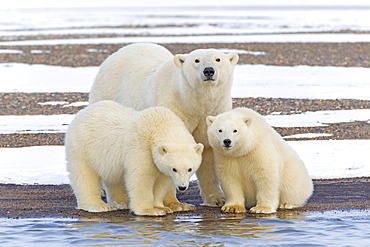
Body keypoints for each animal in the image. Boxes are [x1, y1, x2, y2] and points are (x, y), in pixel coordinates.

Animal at [65, 100, 204, 216]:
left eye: (190, 169)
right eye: (174, 169)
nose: (182, 187)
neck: (160, 125)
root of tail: (82, 112)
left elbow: (161, 182)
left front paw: (162, 207)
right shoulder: (141, 148)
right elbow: (141, 177)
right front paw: (150, 210)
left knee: (115, 178)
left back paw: (122, 203)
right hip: (82, 148)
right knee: (84, 176)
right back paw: (98, 205)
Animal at [89, 43, 240, 206]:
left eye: (218, 59)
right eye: (197, 60)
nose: (209, 71)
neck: (192, 102)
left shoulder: (215, 110)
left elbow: (208, 151)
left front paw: (216, 199)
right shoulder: (173, 106)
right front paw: (172, 202)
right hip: (107, 94)